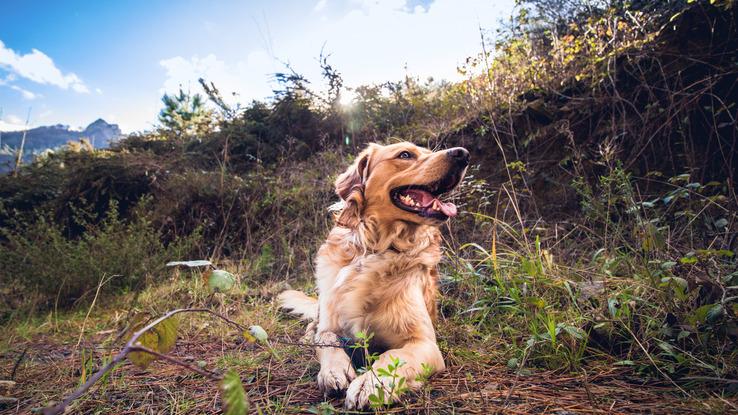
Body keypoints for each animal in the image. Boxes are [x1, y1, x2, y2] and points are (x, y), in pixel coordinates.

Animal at [278, 141, 468, 408]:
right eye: (405, 154)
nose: (463, 154)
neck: (376, 249)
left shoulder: (425, 343)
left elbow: (393, 356)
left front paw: (371, 384)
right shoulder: (331, 322)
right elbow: (327, 340)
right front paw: (333, 371)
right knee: (313, 327)